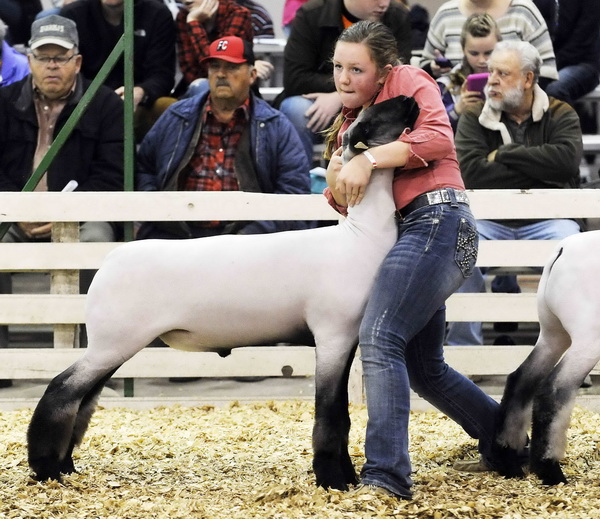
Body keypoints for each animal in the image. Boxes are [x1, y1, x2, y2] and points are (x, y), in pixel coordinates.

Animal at [494, 230, 600, 486]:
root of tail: (563, 249)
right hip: (588, 339)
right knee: (553, 391)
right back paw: (550, 471)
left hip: (552, 334)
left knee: (520, 380)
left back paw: (509, 460)